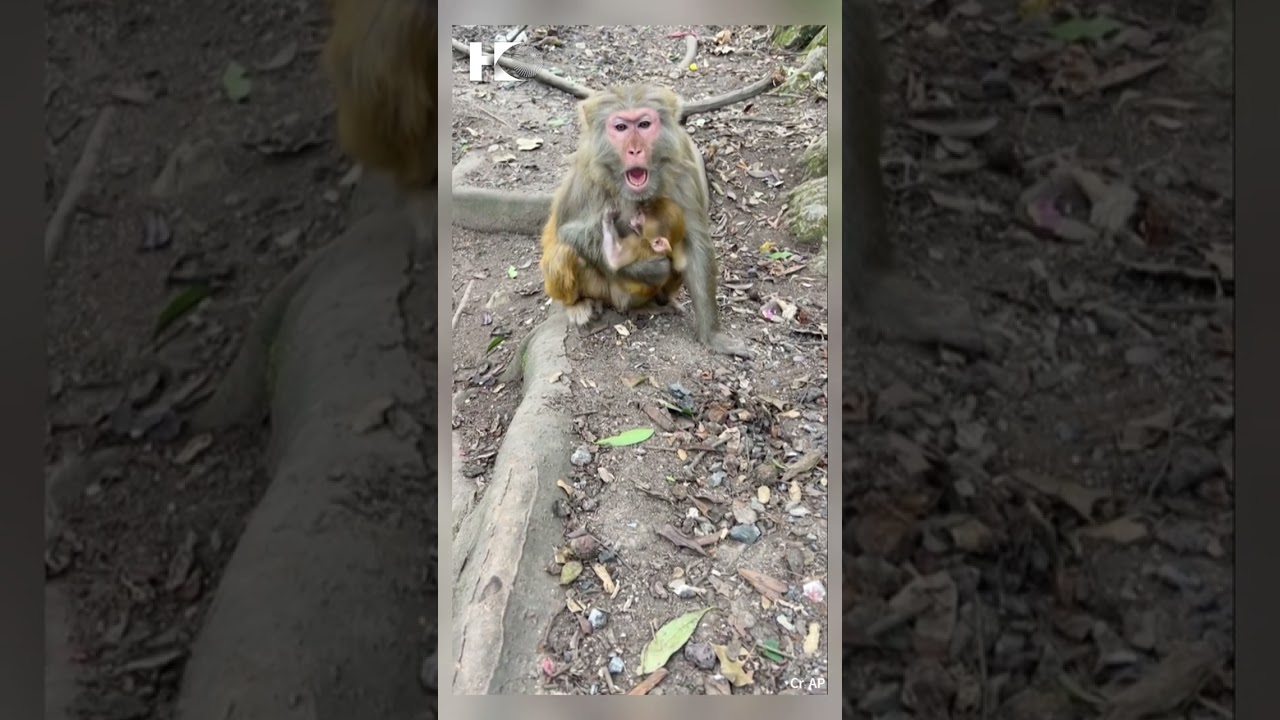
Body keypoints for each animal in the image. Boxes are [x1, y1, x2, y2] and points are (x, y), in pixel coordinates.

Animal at [537, 84, 752, 358]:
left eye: (644, 124)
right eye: (621, 127)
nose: (635, 150)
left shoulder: (683, 169)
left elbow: (694, 245)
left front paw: (713, 336)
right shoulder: (588, 173)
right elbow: (568, 231)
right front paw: (645, 269)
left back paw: (650, 306)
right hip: (603, 292)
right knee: (565, 252)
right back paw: (577, 305)